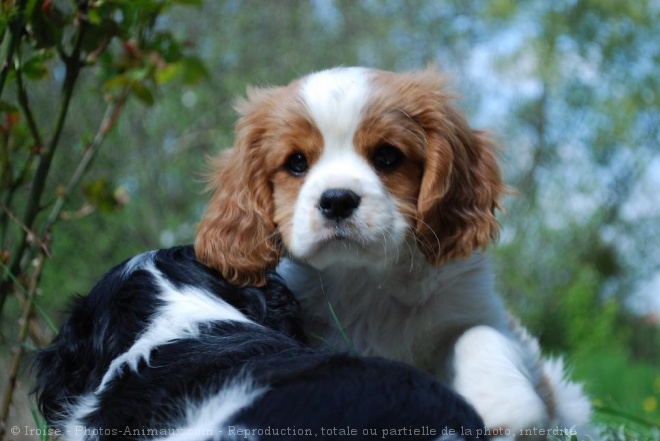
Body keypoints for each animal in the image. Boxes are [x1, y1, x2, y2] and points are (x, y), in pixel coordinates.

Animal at [195, 66, 592, 436]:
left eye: (387, 156)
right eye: (296, 163)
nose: (337, 200)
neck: (367, 280)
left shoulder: (478, 310)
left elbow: (478, 334)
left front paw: (503, 403)